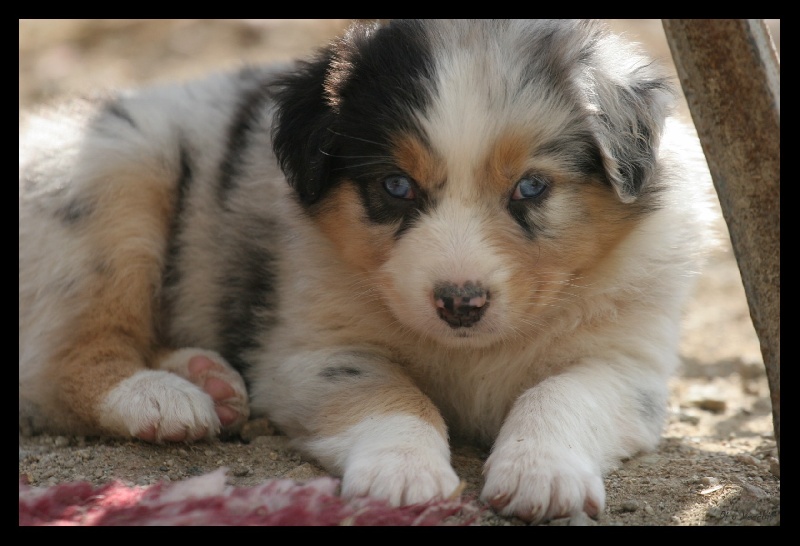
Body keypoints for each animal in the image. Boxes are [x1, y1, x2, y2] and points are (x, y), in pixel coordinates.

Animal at [19, 19, 714, 523]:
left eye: (532, 187)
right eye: (396, 186)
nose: (460, 304)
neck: (471, 350)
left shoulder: (626, 362)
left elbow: (561, 394)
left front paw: (541, 475)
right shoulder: (312, 351)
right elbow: (385, 393)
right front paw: (403, 474)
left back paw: (206, 379)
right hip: (114, 180)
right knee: (58, 364)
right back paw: (160, 399)